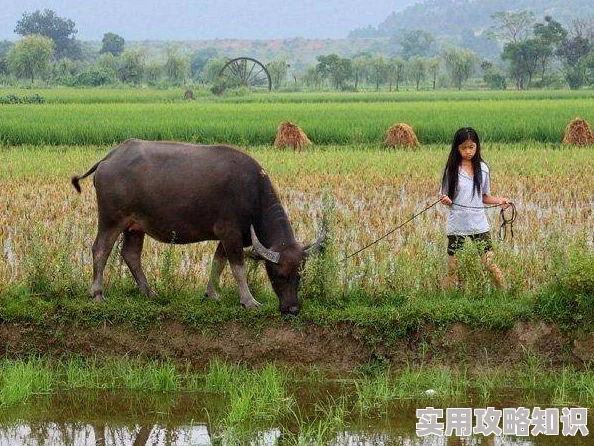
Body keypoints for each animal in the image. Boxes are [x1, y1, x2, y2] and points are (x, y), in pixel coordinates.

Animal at [73, 138, 328, 316]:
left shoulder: (228, 237)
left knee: (131, 254)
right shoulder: (230, 233)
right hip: (111, 220)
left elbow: (218, 263)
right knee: (100, 250)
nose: (293, 309)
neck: (252, 193)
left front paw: (212, 294)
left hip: (135, 226)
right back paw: (97, 293)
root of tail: (109, 157)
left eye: (300, 275)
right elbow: (238, 268)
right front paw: (249, 301)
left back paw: (149, 292)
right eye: (280, 274)